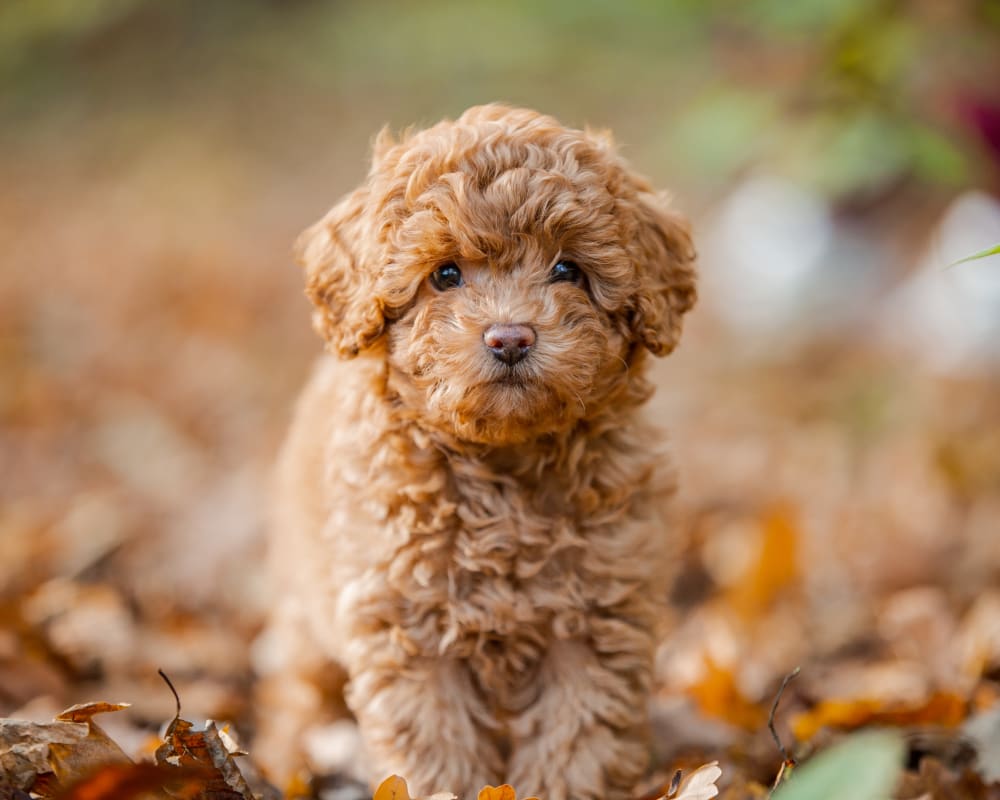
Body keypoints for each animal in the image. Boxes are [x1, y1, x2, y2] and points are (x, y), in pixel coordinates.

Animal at [258, 106, 696, 800]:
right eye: (445, 274)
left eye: (568, 270)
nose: (510, 337)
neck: (503, 466)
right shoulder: (409, 623)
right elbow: (435, 743)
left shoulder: (595, 614)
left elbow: (578, 735)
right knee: (299, 684)